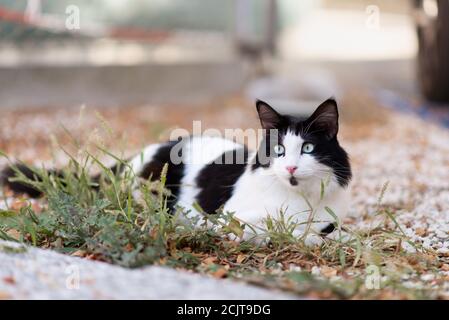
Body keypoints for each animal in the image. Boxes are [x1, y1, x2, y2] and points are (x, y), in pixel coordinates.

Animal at [1, 99, 350, 244]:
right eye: (278, 150)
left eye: (307, 148)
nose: (290, 166)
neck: (300, 199)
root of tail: (132, 158)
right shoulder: (228, 218)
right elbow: (275, 228)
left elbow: (329, 228)